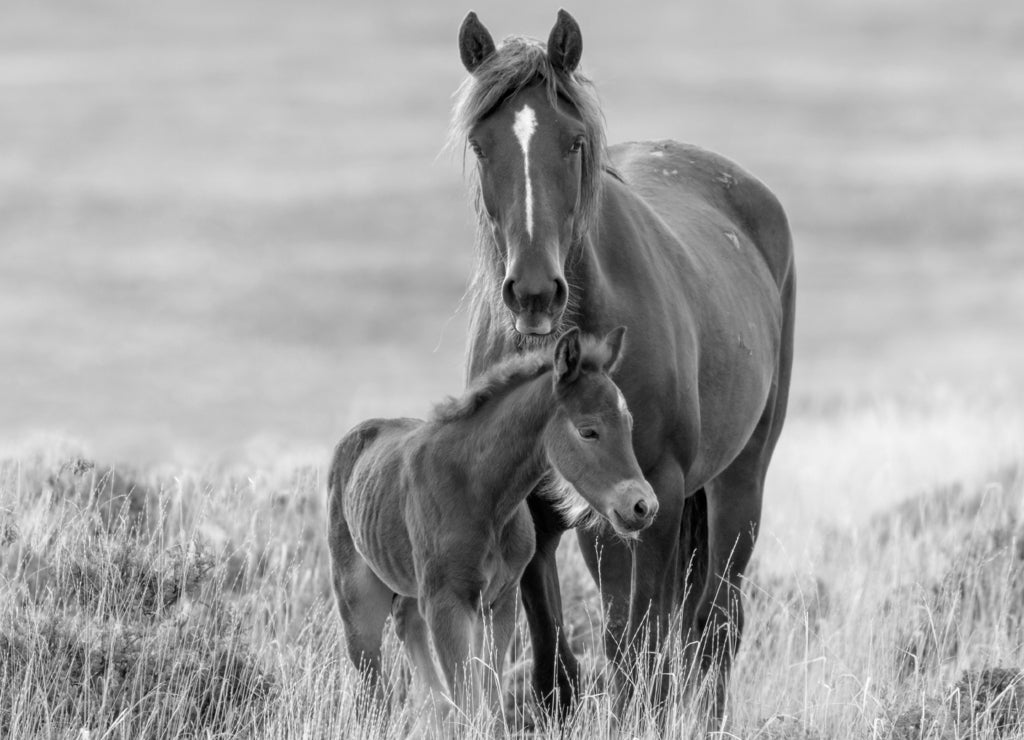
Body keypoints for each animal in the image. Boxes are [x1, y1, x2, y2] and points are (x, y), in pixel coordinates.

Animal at [326, 327, 658, 720]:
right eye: (588, 431)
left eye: (629, 424)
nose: (643, 506)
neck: (482, 496)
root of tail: (357, 436)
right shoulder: (447, 603)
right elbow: (470, 703)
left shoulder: (500, 601)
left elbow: (490, 699)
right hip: (357, 600)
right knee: (372, 683)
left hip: (410, 591)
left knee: (415, 648)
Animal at [452, 10, 796, 718]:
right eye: (480, 144)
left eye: (574, 141)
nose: (534, 292)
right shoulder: (533, 513)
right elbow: (557, 662)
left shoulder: (649, 496)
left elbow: (638, 651)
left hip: (735, 485)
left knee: (714, 624)